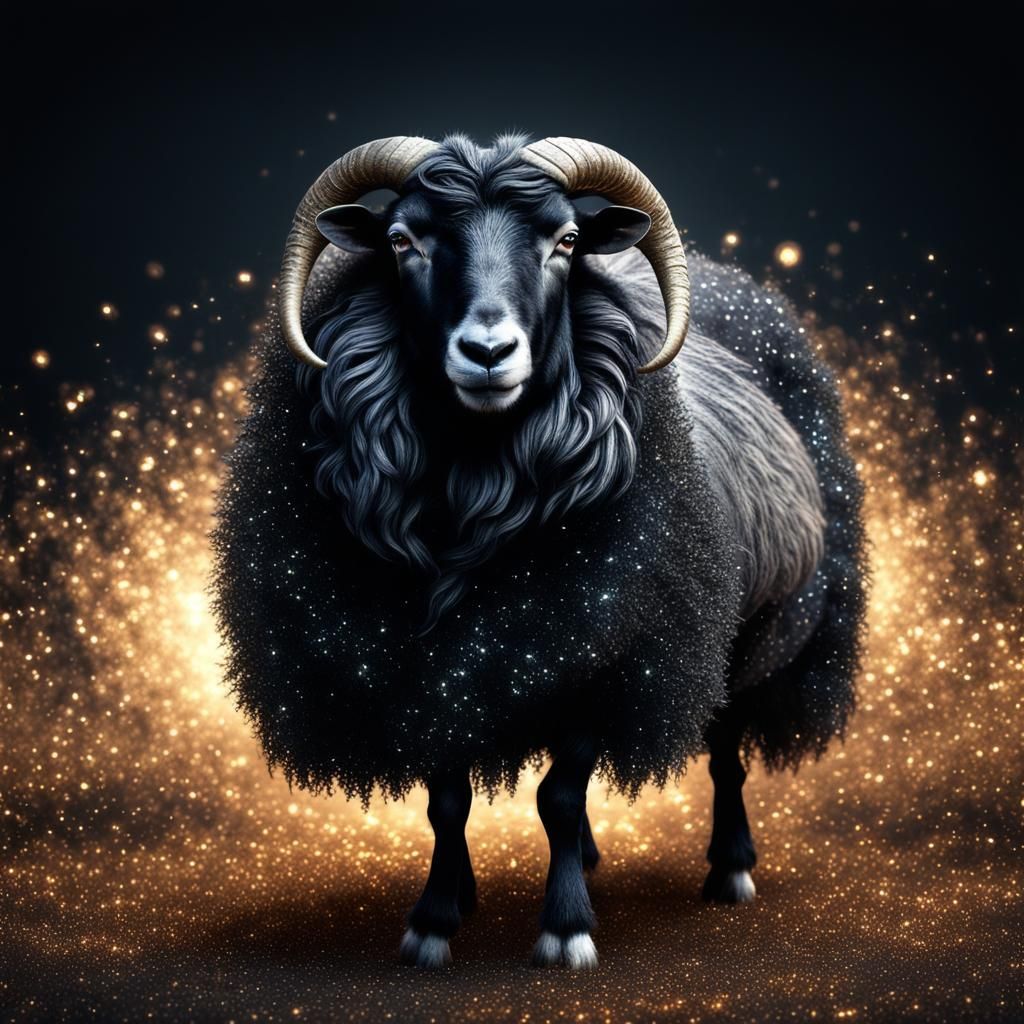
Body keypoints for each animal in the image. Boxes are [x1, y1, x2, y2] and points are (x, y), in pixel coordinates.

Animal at [210, 133, 867, 969]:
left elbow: (557, 795)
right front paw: (436, 917)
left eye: (566, 242)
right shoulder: (429, 668)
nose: (488, 350)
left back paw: (729, 869)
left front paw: (565, 928)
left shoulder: (603, 652)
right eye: (403, 241)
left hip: (749, 635)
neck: (475, 492)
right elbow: (447, 798)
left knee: (725, 750)